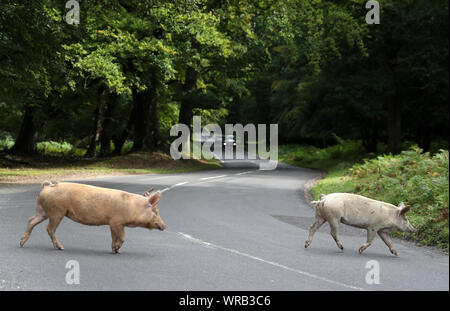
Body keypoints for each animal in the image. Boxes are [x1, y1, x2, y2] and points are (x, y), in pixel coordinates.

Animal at [19, 182, 167, 255]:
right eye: (156, 212)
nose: (165, 226)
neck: (134, 207)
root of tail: (46, 188)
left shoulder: (112, 224)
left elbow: (114, 237)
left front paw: (115, 250)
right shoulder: (117, 222)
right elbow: (123, 237)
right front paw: (117, 249)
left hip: (43, 211)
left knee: (31, 220)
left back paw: (21, 243)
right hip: (57, 211)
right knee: (49, 228)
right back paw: (61, 248)